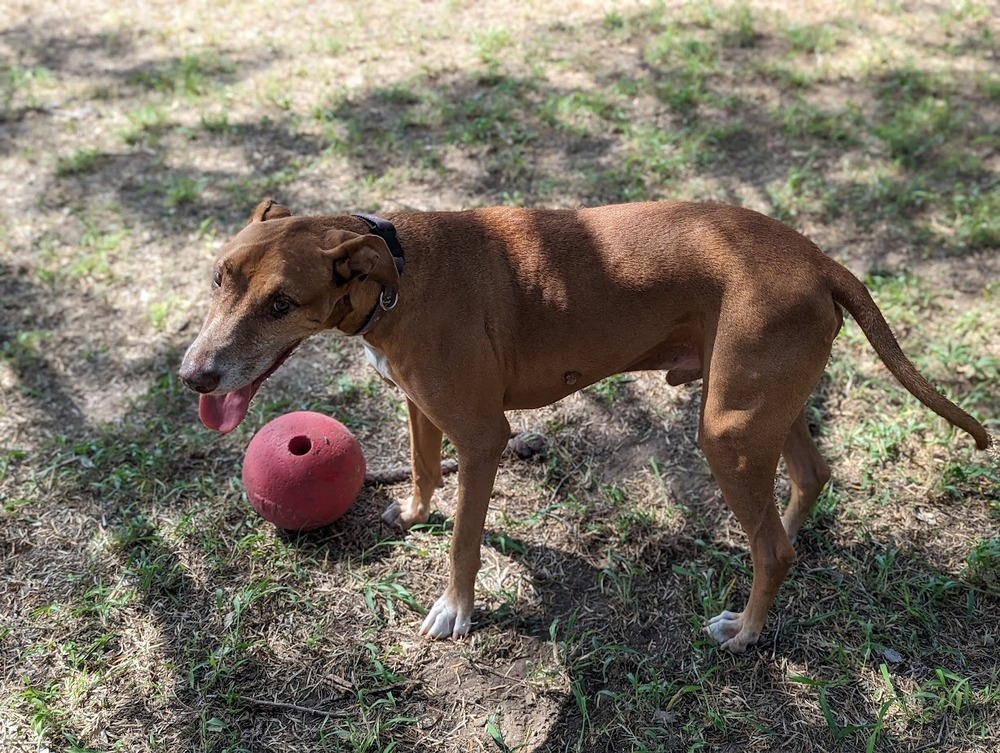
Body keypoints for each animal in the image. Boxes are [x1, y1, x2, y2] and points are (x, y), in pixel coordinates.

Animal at [182, 200, 992, 652]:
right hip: (754, 413)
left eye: (281, 303)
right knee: (808, 479)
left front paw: (456, 610)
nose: (194, 376)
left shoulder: (483, 438)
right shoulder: (421, 407)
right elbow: (420, 465)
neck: (396, 271)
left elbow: (465, 542)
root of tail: (819, 259)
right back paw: (786, 529)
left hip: (726, 432)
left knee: (774, 549)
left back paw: (747, 629)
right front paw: (412, 511)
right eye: (218, 276)